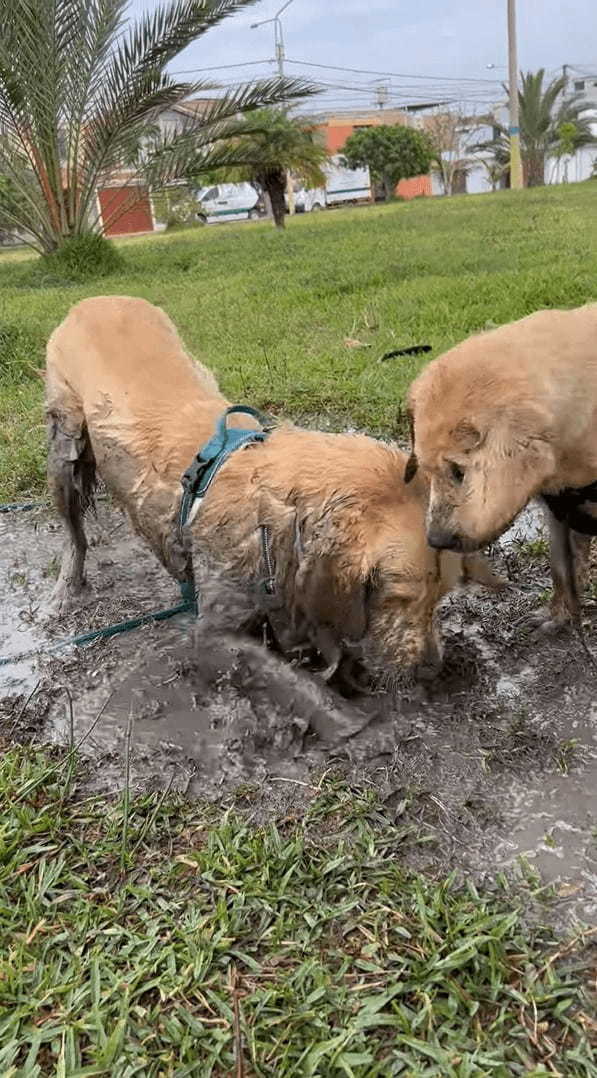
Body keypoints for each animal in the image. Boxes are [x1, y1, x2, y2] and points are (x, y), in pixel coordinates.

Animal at [45, 295, 497, 685]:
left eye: (442, 595)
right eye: (399, 596)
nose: (434, 669)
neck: (274, 516)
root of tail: (94, 300)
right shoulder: (215, 631)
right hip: (64, 441)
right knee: (73, 529)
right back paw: (65, 591)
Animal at [403, 303, 594, 629]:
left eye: (459, 471)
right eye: (426, 472)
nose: (436, 540)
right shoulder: (556, 504)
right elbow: (560, 564)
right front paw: (547, 622)